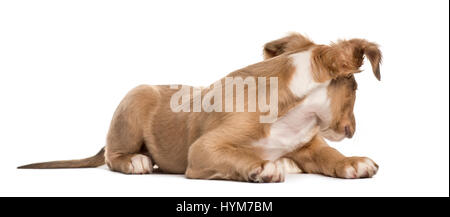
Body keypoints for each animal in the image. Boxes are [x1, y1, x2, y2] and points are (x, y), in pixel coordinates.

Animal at [19, 33, 382, 182]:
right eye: (355, 89)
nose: (352, 129)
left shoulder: (307, 144)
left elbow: (328, 154)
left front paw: (352, 162)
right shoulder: (203, 150)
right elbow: (239, 156)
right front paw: (261, 167)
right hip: (136, 99)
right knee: (112, 156)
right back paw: (135, 161)